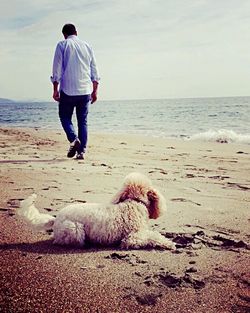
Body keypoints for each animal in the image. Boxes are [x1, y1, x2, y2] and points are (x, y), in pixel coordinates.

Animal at [18, 173, 174, 249]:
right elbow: (153, 237)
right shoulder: (133, 237)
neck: (134, 202)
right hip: (75, 229)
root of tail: (56, 219)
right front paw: (169, 243)